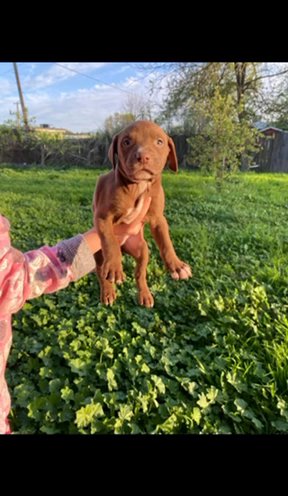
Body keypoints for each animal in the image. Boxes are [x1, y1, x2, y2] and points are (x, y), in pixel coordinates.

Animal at [92, 120, 191, 306]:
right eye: (126, 142)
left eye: (159, 142)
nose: (143, 156)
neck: (139, 185)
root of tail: (124, 248)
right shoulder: (102, 217)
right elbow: (110, 240)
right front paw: (115, 267)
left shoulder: (159, 219)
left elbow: (166, 242)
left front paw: (177, 265)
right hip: (99, 253)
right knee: (102, 272)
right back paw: (108, 292)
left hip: (142, 249)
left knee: (140, 273)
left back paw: (144, 295)